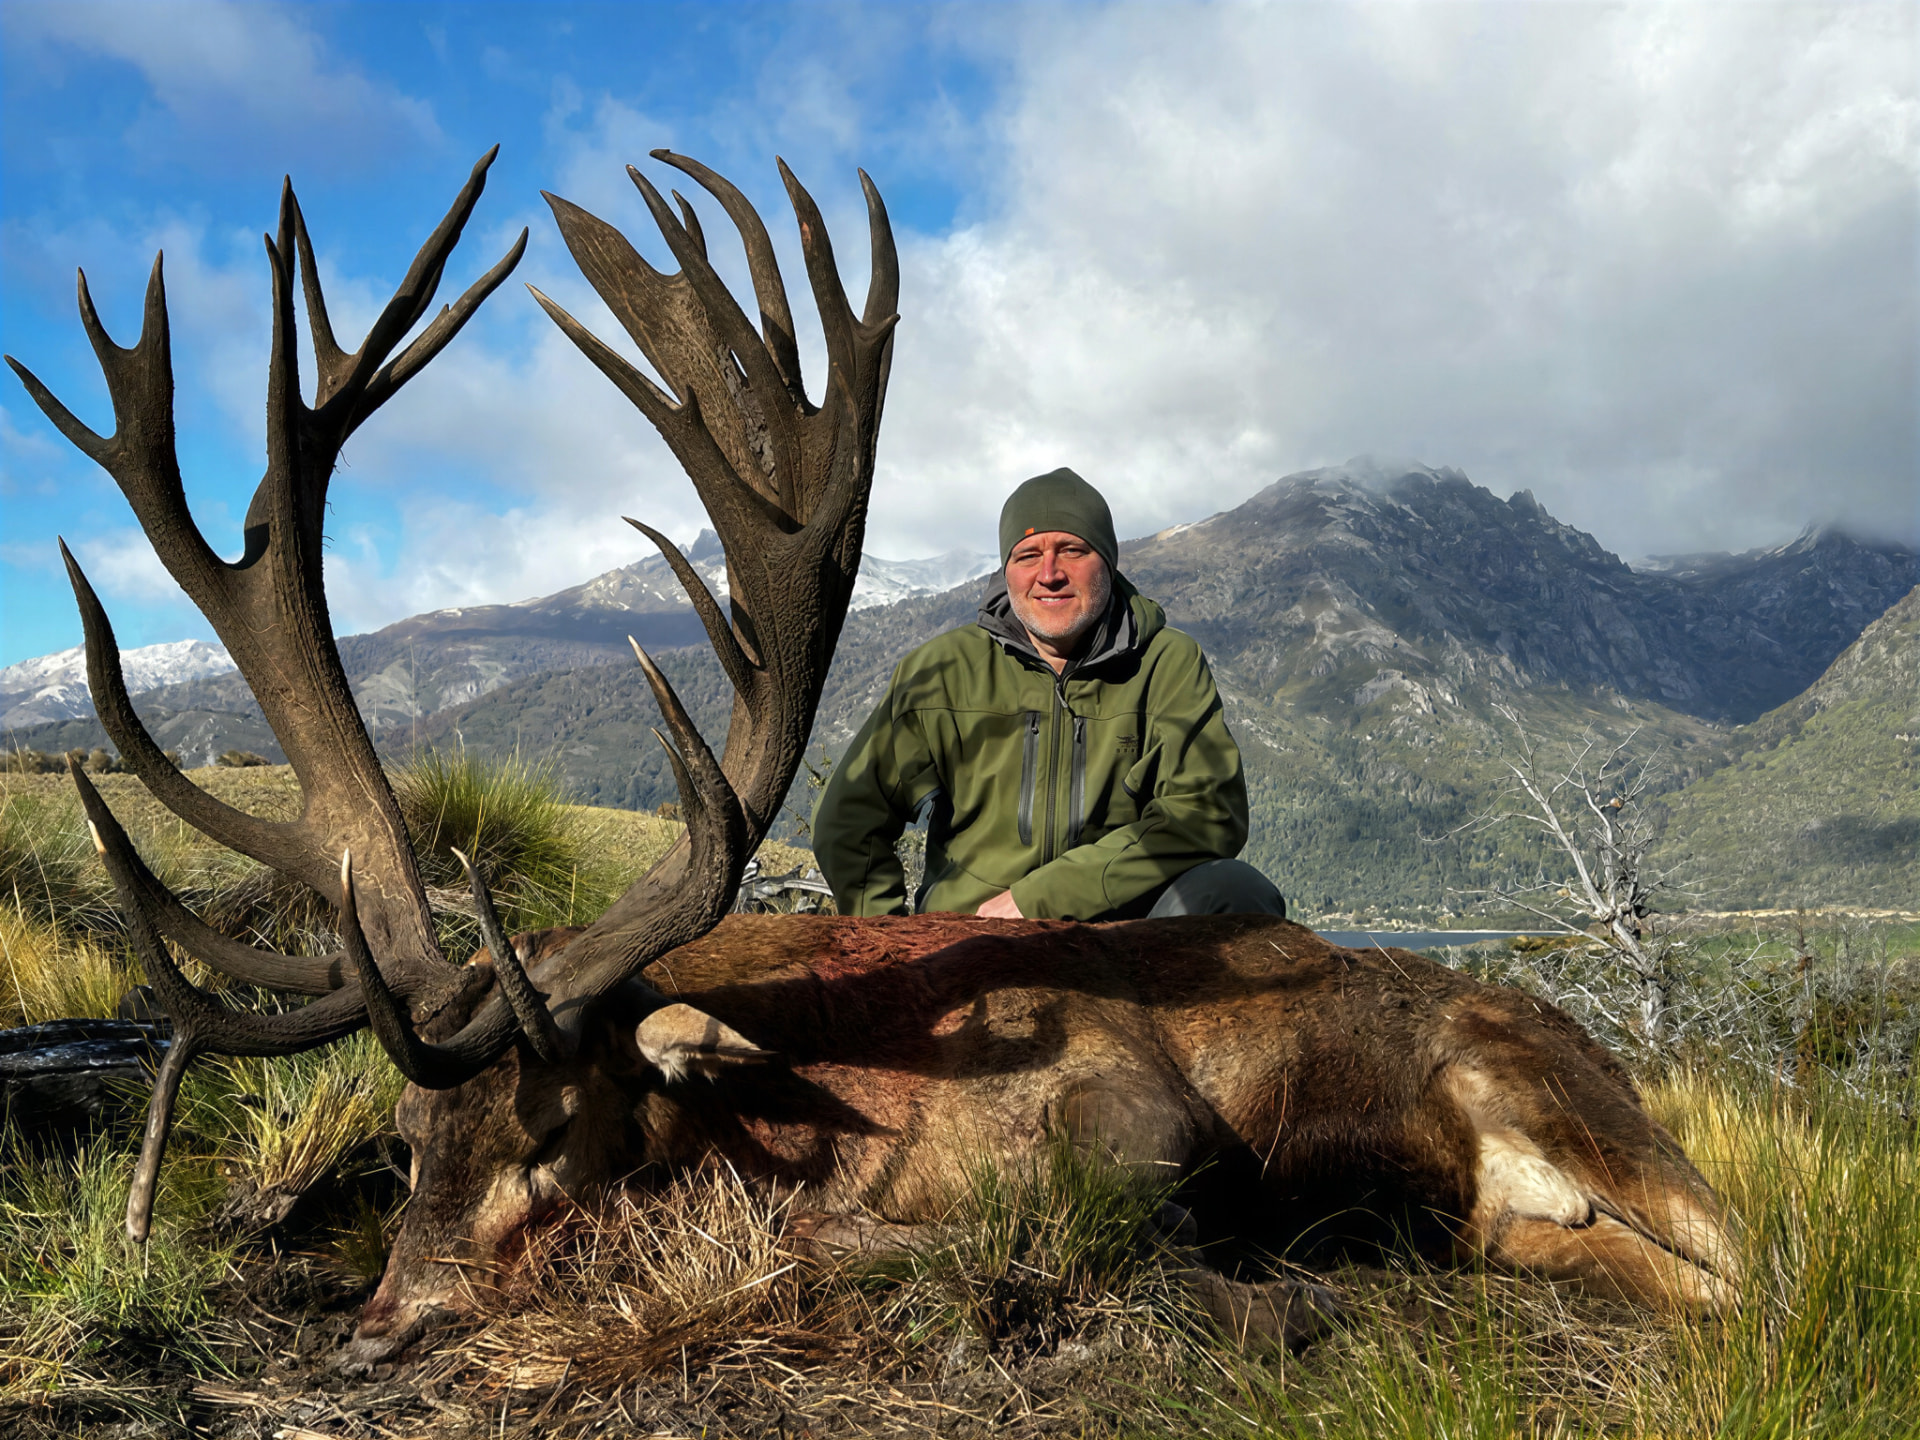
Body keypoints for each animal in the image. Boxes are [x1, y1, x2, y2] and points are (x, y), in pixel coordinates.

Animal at [7, 148, 1740, 1372]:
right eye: (410, 1138)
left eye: (555, 1130)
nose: (386, 1327)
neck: (820, 1098)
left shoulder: (1139, 1124)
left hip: (1567, 1107)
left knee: (1742, 1271)